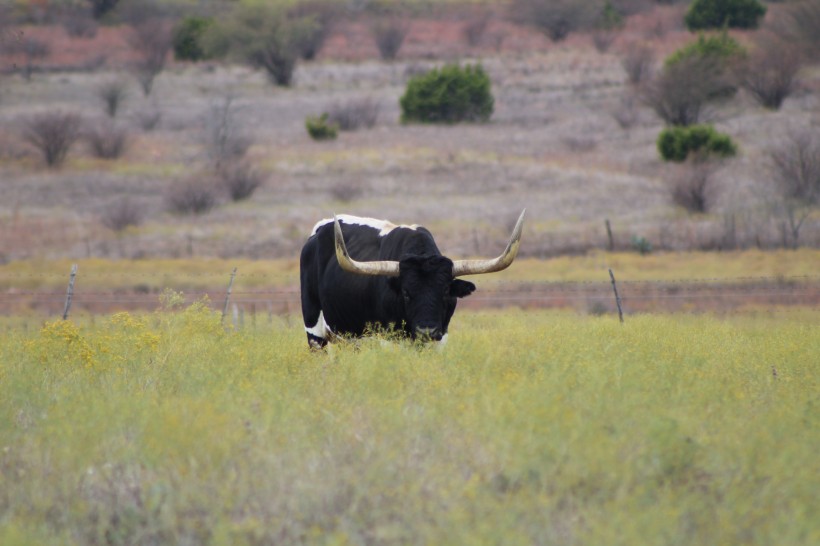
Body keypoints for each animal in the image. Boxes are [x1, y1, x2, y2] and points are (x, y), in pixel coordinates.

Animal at [298, 210, 524, 346]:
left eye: (445, 291)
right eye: (406, 293)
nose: (426, 331)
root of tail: (318, 231)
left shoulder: (440, 338)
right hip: (315, 331)